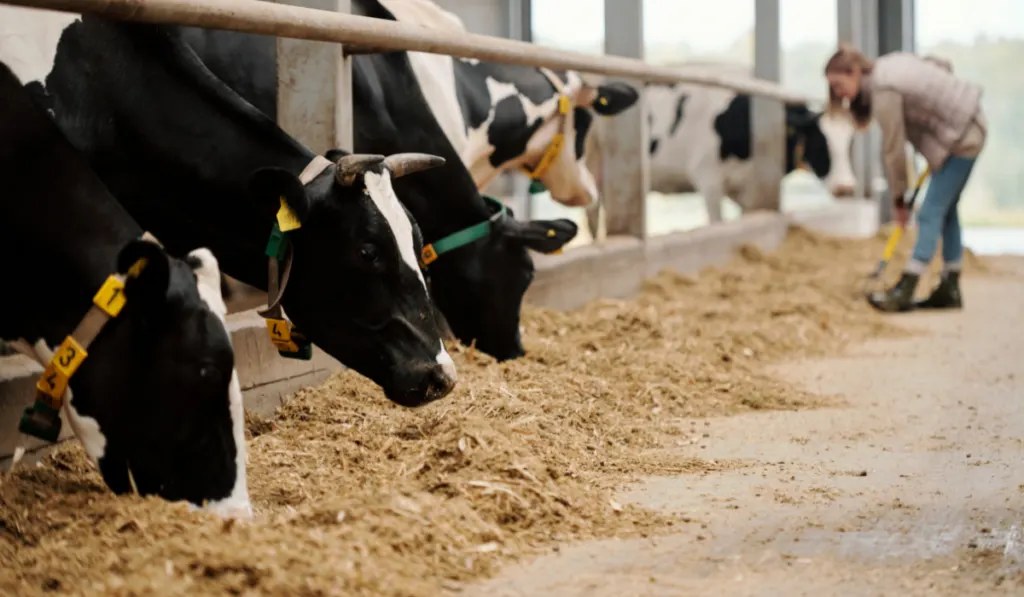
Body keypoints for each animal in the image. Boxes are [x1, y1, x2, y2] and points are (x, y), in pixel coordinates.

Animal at [585, 64, 856, 229]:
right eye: (820, 144)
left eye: (850, 144)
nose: (846, 188)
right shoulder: (707, 177)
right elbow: (716, 221)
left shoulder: (749, 189)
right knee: (592, 215)